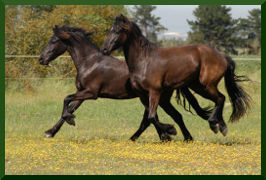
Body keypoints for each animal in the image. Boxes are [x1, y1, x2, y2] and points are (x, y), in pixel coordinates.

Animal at [38, 25, 212, 141]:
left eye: (53, 40)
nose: (41, 59)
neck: (89, 62)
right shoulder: (82, 94)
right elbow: (68, 108)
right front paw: (51, 131)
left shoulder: (91, 93)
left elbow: (66, 99)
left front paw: (69, 120)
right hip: (151, 98)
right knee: (153, 118)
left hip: (160, 98)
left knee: (165, 117)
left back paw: (170, 134)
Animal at [101, 14, 250, 137]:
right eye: (110, 30)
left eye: (118, 31)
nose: (104, 49)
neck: (144, 61)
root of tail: (223, 56)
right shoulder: (143, 96)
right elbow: (151, 118)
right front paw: (167, 133)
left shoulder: (154, 92)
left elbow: (151, 117)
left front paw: (171, 130)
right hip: (197, 86)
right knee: (219, 99)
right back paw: (217, 126)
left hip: (206, 85)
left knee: (221, 98)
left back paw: (215, 124)